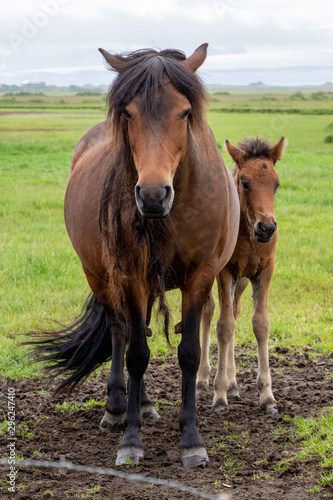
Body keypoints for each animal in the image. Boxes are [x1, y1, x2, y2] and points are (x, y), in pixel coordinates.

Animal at [30, 45, 239, 466]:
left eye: (185, 112)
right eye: (128, 113)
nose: (154, 195)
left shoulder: (201, 277)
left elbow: (189, 353)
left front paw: (191, 440)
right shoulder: (129, 275)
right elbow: (137, 354)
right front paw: (130, 439)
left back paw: (141, 405)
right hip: (99, 275)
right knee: (121, 331)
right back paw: (116, 409)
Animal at [197, 136, 286, 414]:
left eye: (276, 184)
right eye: (245, 183)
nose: (266, 227)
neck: (247, 236)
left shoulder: (264, 271)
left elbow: (260, 323)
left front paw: (267, 396)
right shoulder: (225, 273)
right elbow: (223, 326)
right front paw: (219, 396)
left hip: (243, 281)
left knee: (234, 311)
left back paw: (234, 383)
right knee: (209, 311)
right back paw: (202, 379)